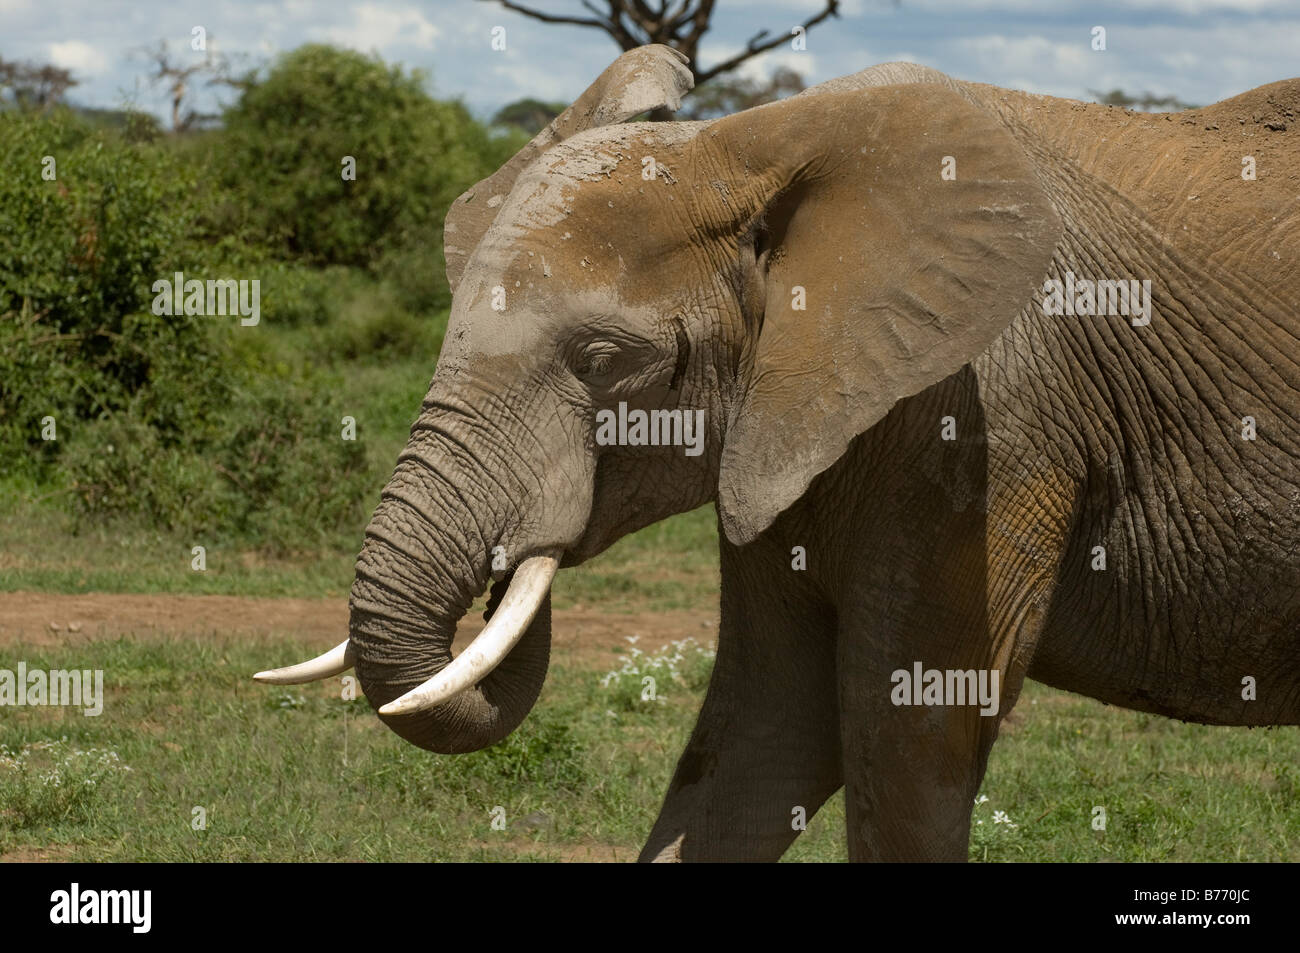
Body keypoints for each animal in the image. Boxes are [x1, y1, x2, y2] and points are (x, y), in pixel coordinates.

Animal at [253, 46, 1300, 863]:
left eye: (604, 360)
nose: (510, 560)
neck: (742, 149)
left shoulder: (997, 424)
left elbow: (909, 739)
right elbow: (764, 731)